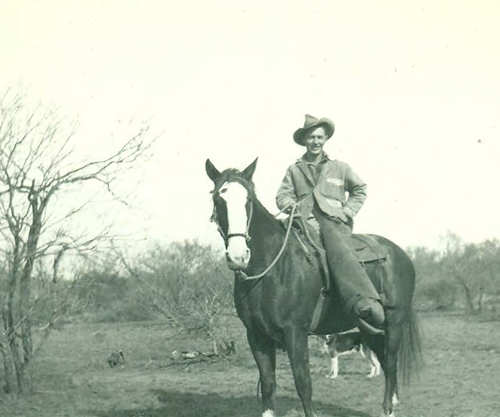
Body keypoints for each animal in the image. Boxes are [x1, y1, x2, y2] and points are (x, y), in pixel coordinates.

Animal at [206, 157, 422, 416]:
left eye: (248, 200)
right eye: (218, 199)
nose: (238, 256)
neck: (272, 268)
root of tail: (401, 254)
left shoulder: (295, 333)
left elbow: (303, 383)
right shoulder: (256, 335)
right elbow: (268, 385)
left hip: (395, 321)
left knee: (389, 360)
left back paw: (388, 408)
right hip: (372, 328)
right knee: (386, 362)